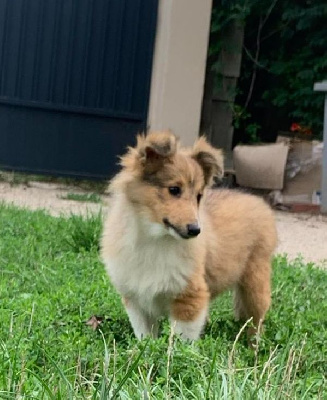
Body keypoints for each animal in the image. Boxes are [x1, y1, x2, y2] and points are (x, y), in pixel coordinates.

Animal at [101, 131, 278, 340]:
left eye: (199, 196)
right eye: (174, 189)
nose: (195, 230)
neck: (156, 239)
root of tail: (257, 200)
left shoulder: (191, 296)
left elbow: (182, 339)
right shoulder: (136, 300)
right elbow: (145, 335)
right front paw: (146, 347)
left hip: (255, 283)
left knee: (256, 320)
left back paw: (253, 344)